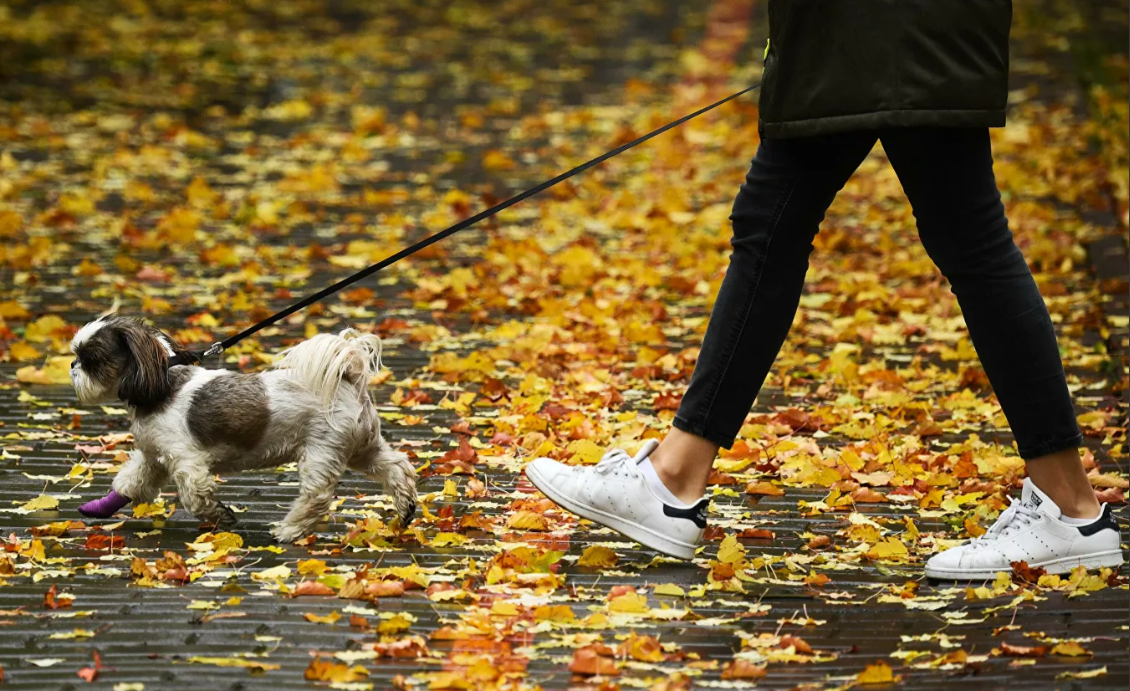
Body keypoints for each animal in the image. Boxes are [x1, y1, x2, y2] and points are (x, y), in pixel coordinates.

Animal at [69, 313, 415, 544]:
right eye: (78, 357)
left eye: (91, 360)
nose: (73, 366)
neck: (160, 386)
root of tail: (349, 377)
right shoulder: (154, 456)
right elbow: (130, 483)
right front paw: (100, 507)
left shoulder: (186, 462)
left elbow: (195, 498)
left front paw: (221, 516)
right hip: (362, 447)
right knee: (397, 467)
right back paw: (406, 508)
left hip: (322, 450)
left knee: (317, 496)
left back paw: (288, 530)